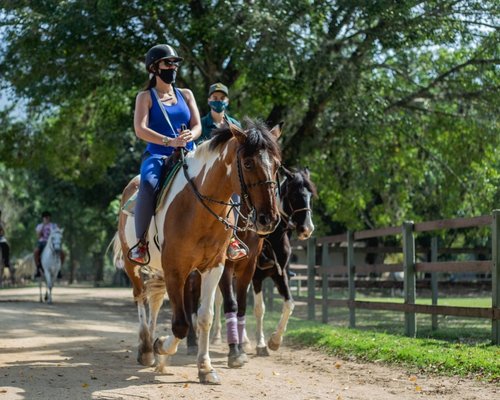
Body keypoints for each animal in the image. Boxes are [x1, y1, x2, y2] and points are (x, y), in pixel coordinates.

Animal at [114, 119, 284, 384]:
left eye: (277, 164)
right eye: (247, 163)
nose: (270, 219)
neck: (197, 208)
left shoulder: (214, 267)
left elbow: (205, 317)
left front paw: (204, 367)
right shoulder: (176, 269)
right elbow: (180, 324)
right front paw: (161, 346)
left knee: (154, 299)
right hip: (135, 266)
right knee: (141, 297)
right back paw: (147, 349)